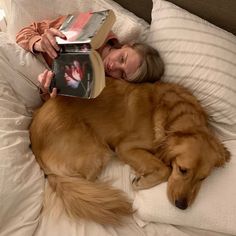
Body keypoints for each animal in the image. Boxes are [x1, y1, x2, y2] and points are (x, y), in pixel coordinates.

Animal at [30, 77, 230, 225]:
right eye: (182, 170)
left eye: (203, 178)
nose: (182, 206)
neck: (174, 117)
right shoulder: (125, 147)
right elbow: (165, 169)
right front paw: (141, 181)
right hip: (99, 151)